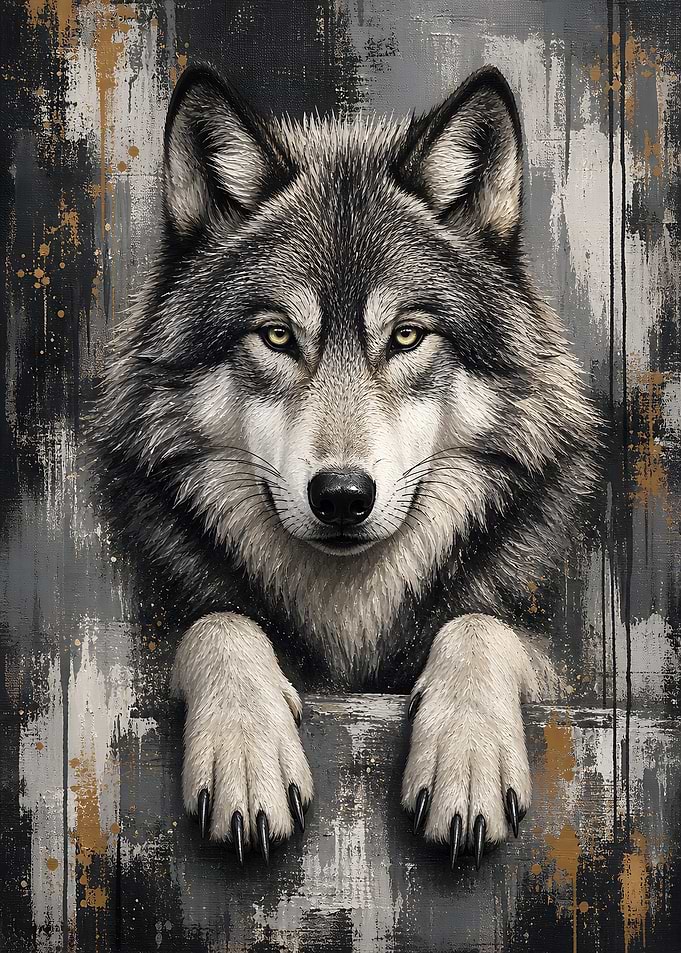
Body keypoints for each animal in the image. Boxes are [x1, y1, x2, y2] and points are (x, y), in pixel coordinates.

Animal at [94, 63, 598, 870]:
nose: (340, 495)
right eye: (276, 335)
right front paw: (246, 754)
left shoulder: (572, 668)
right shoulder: (138, 653)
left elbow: (480, 626)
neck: (348, 622)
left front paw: (466, 760)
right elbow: (220, 621)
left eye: (406, 335)